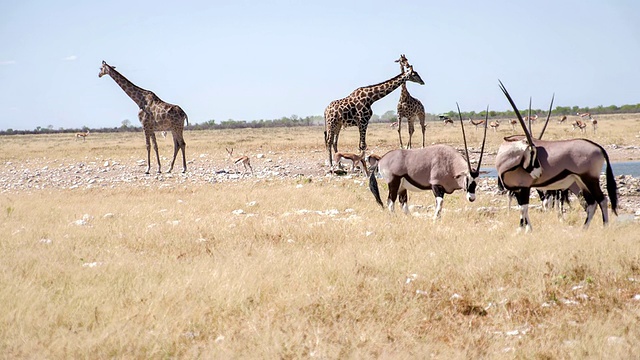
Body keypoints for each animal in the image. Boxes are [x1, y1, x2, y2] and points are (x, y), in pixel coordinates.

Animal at [496, 80, 616, 232]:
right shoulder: (518, 189)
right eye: (532, 152)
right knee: (591, 203)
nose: (539, 173)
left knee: (602, 200)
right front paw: (526, 229)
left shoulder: (524, 188)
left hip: (589, 179)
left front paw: (524, 230)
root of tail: (598, 147)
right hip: (580, 181)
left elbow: (524, 208)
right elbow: (522, 208)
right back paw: (584, 228)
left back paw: (604, 227)